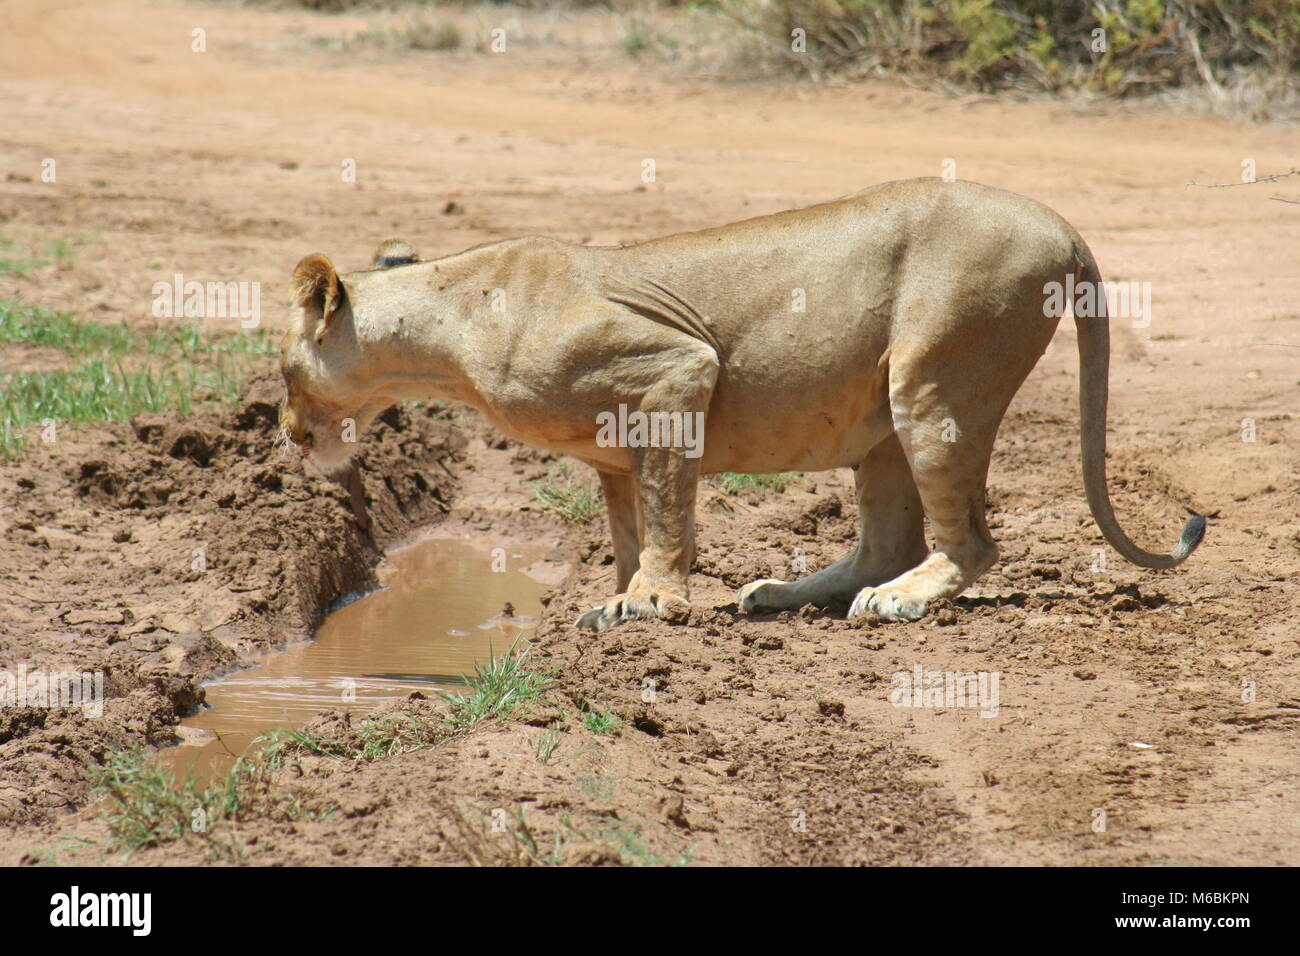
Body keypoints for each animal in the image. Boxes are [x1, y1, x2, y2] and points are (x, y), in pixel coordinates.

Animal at [279, 178, 1204, 631]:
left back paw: (903, 600)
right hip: (884, 418)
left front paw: (648, 605)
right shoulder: (615, 447)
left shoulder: (675, 369)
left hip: (934, 375)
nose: (286, 436)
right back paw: (783, 593)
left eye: (283, 372)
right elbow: (632, 525)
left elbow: (667, 517)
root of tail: (1059, 222)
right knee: (885, 539)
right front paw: (615, 599)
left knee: (969, 542)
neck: (445, 337)